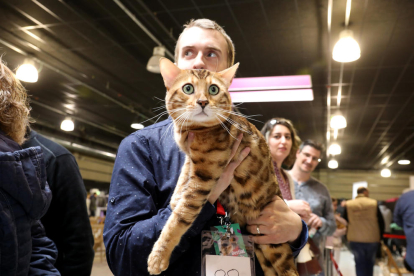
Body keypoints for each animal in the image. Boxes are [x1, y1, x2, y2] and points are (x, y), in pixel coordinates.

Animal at [147, 58, 300, 276]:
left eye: (213, 89)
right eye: (188, 88)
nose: (203, 102)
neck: (192, 130)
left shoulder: (204, 176)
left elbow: (179, 218)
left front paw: (158, 256)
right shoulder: (192, 160)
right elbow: (183, 175)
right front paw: (175, 198)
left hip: (275, 248)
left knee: (289, 270)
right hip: (262, 249)